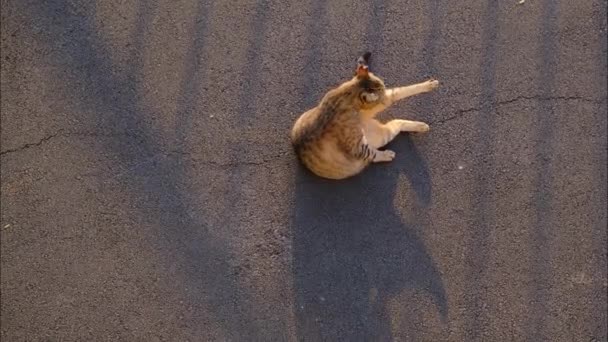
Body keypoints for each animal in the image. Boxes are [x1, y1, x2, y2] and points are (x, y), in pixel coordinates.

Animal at [290, 52, 440, 180]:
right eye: (382, 88)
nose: (383, 90)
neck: (347, 95)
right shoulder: (357, 147)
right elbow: (372, 154)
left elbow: (398, 92)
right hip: (378, 137)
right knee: (391, 130)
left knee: (397, 122)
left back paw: (421, 126)